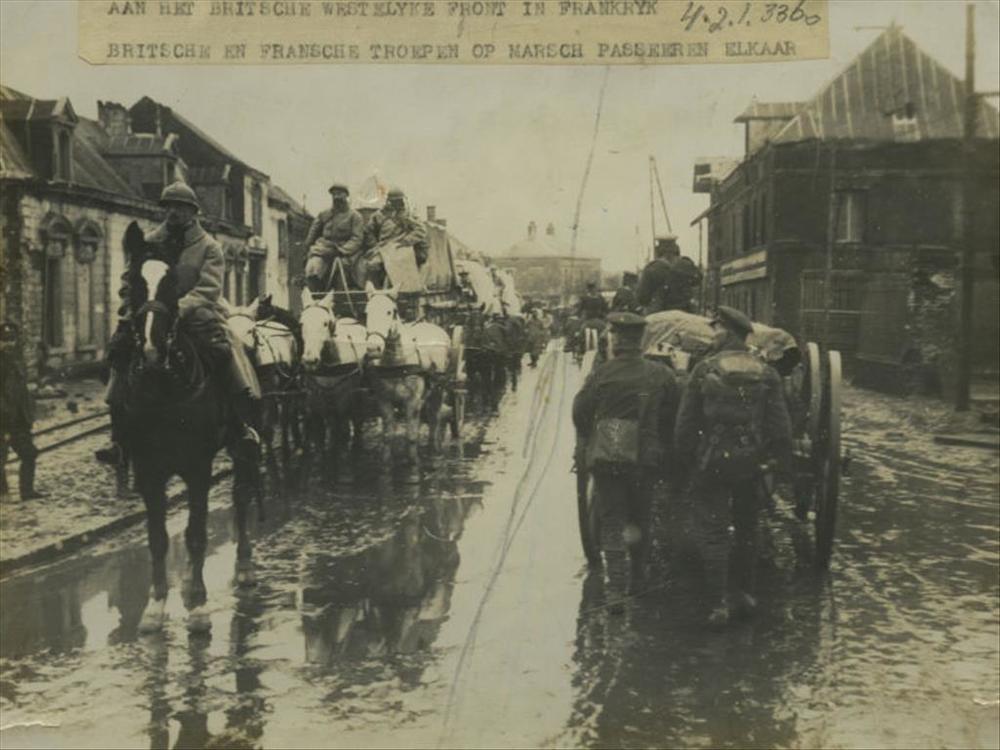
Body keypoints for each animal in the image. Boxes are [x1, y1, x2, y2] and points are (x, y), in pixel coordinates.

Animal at [118, 221, 259, 634]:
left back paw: (244, 566)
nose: (151, 352)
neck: (162, 388)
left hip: (243, 445)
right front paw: (155, 607)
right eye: (133, 282)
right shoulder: (148, 470)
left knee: (241, 496)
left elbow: (196, 535)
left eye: (172, 283)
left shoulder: (198, 466)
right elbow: (158, 538)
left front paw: (197, 607)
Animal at [224, 296, 302, 461]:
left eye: (251, 330)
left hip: (288, 388)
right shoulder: (243, 399)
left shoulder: (269, 395)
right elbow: (251, 425)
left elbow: (266, 428)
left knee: (286, 417)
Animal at [298, 288, 368, 457]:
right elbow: (320, 438)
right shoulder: (315, 405)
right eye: (301, 323)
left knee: (357, 421)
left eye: (325, 323)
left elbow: (341, 435)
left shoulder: (343, 403)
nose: (310, 360)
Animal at [363, 282, 452, 462]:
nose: (373, 348)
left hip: (439, 388)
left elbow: (411, 436)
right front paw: (386, 461)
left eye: (390, 311)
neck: (396, 363)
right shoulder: (384, 401)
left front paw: (413, 462)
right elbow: (387, 436)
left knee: (434, 417)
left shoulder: (412, 400)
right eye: (367, 312)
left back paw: (434, 447)